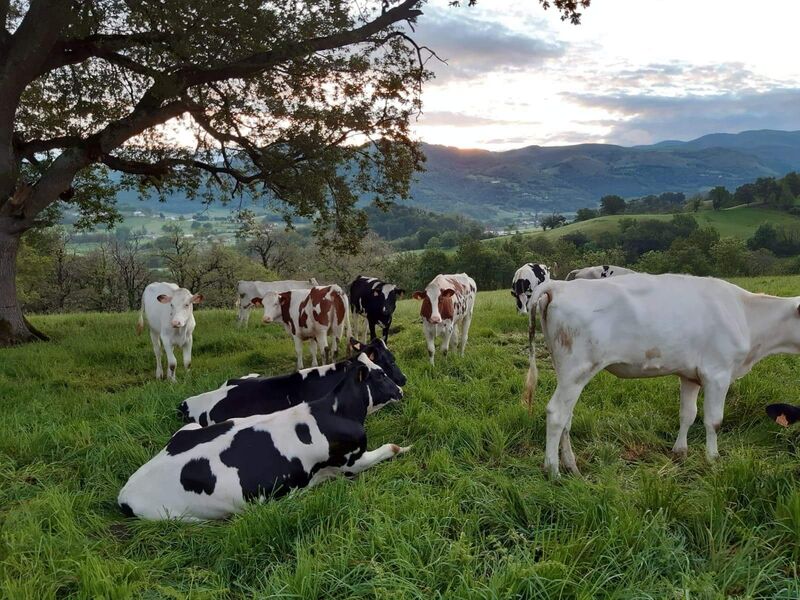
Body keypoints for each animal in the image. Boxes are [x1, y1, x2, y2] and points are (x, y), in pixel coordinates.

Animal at [118, 357, 407, 521]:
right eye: (381, 374)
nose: (401, 389)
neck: (337, 410)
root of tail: (125, 493)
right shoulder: (352, 462)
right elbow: (390, 448)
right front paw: (405, 447)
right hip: (184, 517)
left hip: (188, 428)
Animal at [523, 273, 800, 478]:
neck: (746, 316)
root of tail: (558, 285)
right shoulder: (717, 374)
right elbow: (714, 421)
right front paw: (712, 459)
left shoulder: (690, 376)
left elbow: (688, 414)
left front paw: (680, 452)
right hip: (576, 369)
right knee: (556, 414)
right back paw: (553, 471)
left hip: (567, 372)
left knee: (567, 418)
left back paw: (572, 466)